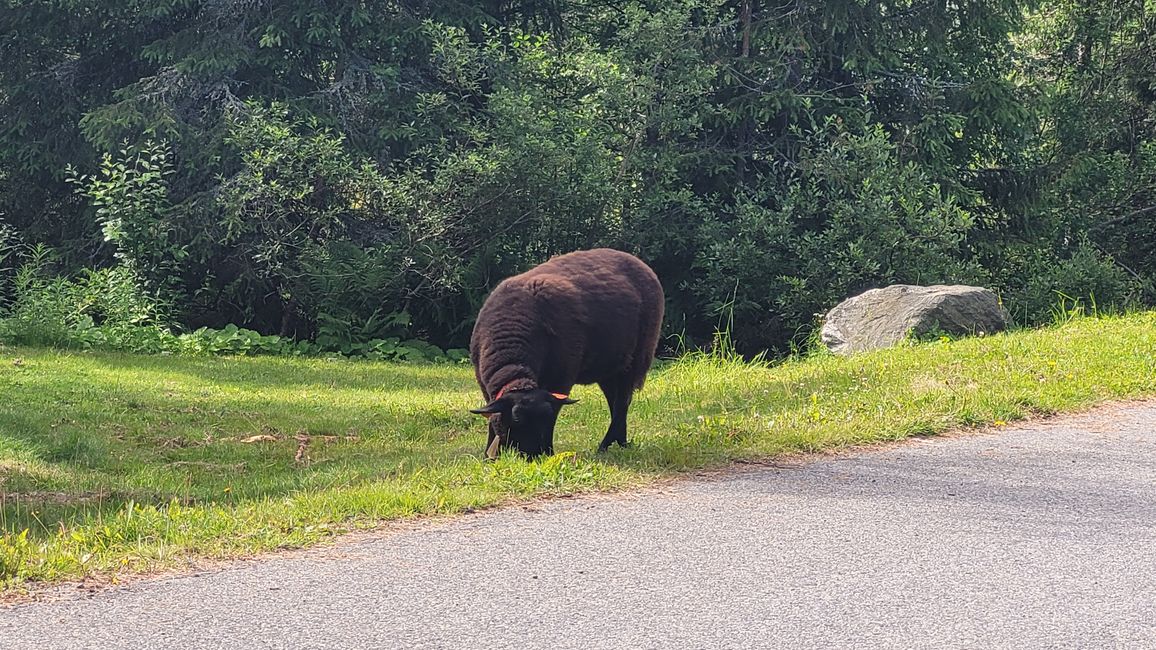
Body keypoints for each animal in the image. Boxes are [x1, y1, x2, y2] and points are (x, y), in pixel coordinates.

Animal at [469, 246, 665, 455]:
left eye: (544, 420)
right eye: (517, 419)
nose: (535, 456)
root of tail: (640, 263)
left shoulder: (561, 379)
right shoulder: (485, 384)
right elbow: (492, 415)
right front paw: (489, 454)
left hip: (636, 357)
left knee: (622, 402)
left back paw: (605, 445)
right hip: (609, 366)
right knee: (615, 400)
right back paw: (620, 442)